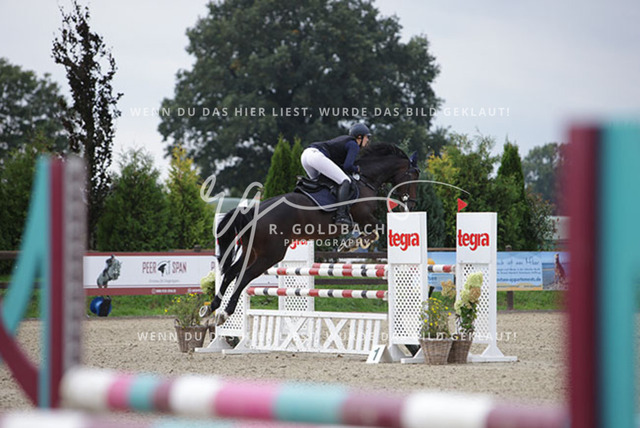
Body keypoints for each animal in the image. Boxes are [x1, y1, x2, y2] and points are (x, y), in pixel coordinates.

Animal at [211, 143, 420, 325]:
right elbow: (376, 231)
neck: (366, 179)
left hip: (252, 251)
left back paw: (212, 308)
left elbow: (372, 233)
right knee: (244, 276)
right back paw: (225, 312)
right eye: (413, 176)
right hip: (270, 254)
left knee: (230, 273)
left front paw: (350, 243)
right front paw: (350, 245)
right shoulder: (365, 217)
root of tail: (251, 213)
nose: (411, 205)